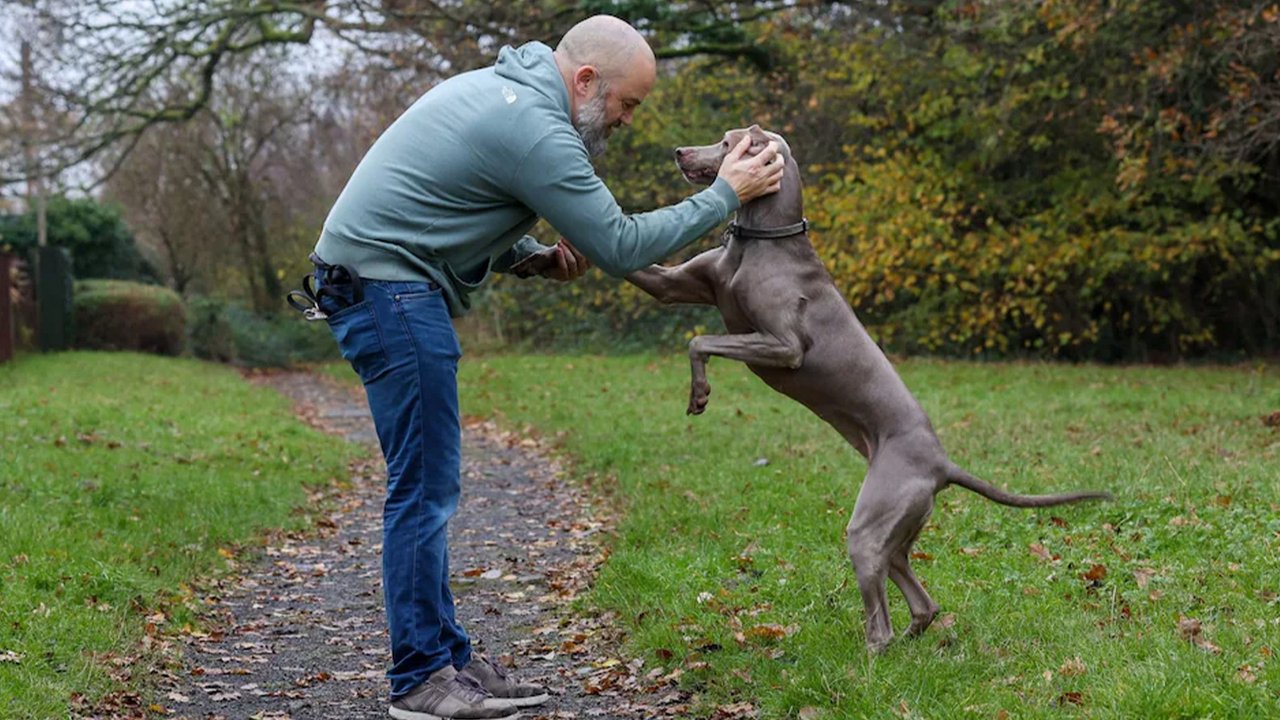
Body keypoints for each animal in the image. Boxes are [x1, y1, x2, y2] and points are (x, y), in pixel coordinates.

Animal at [624, 124, 1105, 650]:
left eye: (728, 142)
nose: (679, 152)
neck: (761, 240)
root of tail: (942, 465)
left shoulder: (785, 346)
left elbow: (699, 340)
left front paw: (700, 395)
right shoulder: (671, 284)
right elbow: (637, 266)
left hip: (869, 526)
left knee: (882, 622)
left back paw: (869, 656)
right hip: (896, 533)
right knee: (922, 602)